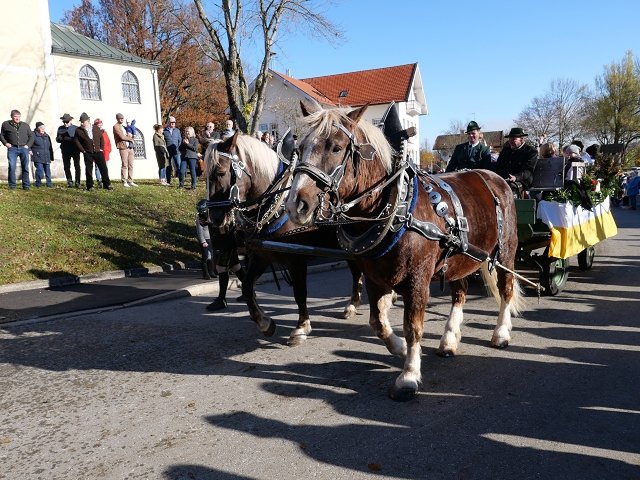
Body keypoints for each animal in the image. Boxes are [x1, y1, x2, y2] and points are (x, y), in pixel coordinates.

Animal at [202, 131, 364, 346]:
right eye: (205, 175)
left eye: (220, 173)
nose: (215, 219)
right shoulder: (262, 255)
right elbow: (246, 286)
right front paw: (264, 322)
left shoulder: (296, 259)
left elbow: (299, 292)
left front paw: (301, 328)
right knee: (356, 270)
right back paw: (353, 304)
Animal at [285, 102, 524, 401]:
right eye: (301, 145)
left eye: (336, 148)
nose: (296, 205)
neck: (393, 208)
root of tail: (494, 177)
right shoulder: (374, 278)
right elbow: (377, 322)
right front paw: (399, 348)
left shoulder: (417, 279)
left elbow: (413, 327)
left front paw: (409, 375)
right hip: (460, 258)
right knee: (460, 293)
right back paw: (449, 339)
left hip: (506, 251)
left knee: (506, 288)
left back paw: (501, 333)